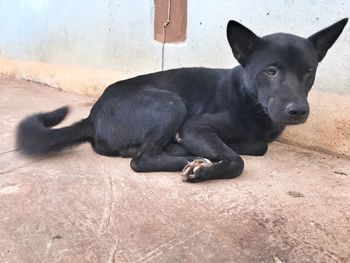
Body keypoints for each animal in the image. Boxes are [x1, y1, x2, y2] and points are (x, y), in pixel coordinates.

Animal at [17, 18, 348, 183]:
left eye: (308, 71)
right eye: (271, 70)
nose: (298, 111)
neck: (249, 99)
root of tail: (93, 114)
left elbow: (257, 146)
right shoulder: (196, 127)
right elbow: (238, 159)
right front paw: (211, 166)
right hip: (170, 103)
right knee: (141, 159)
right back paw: (188, 158)